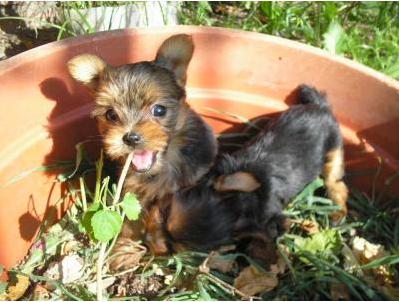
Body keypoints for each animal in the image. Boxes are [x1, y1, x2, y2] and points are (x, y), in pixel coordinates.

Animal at [69, 34, 219, 270]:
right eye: (111, 114)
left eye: (159, 110)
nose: (131, 138)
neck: (159, 168)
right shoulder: (131, 193)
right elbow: (130, 221)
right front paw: (124, 250)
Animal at [145, 84, 348, 258]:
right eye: (164, 213)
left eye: (173, 249)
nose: (148, 240)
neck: (242, 200)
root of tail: (320, 107)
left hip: (333, 149)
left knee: (336, 184)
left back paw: (338, 214)